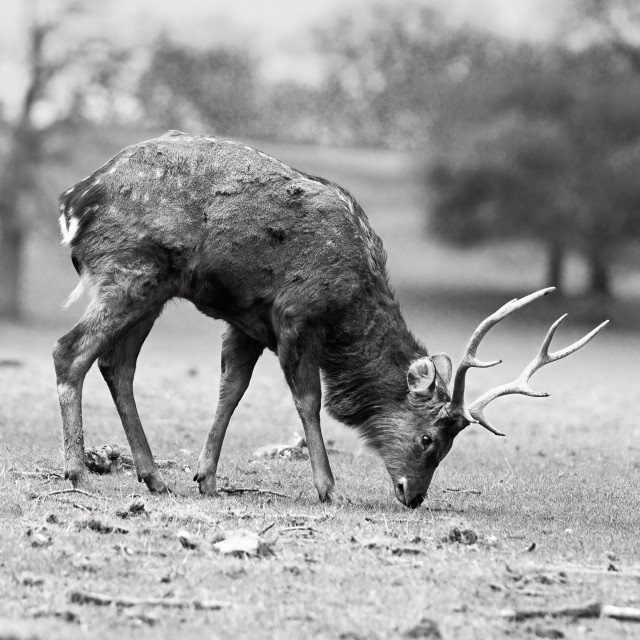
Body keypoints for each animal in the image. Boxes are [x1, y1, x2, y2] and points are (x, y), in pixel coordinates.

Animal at [52, 132, 608, 508]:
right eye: (429, 439)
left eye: (451, 445)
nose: (411, 495)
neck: (350, 305)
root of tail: (72, 201)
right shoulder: (295, 316)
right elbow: (309, 400)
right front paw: (328, 488)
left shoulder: (245, 323)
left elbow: (230, 390)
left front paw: (206, 478)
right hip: (129, 270)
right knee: (70, 351)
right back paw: (78, 472)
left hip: (156, 289)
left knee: (117, 366)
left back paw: (154, 476)